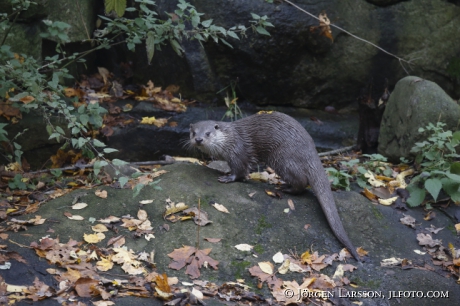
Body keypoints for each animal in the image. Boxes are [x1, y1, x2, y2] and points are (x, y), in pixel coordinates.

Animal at [189, 111, 362, 260]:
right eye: (193, 133)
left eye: (208, 133)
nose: (198, 139)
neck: (228, 140)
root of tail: (311, 151)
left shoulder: (237, 152)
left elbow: (240, 170)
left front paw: (228, 177)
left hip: (281, 157)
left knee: (301, 182)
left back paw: (284, 187)